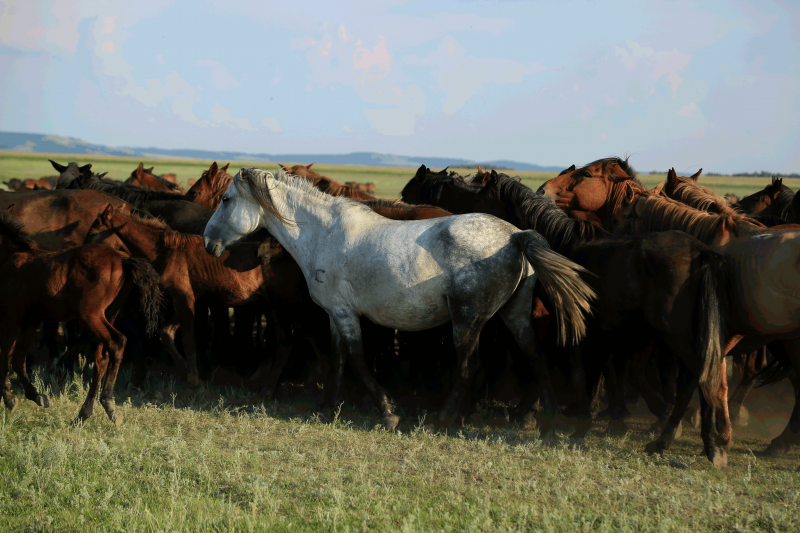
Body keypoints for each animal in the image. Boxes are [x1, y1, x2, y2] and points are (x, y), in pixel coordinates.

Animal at [0, 210, 163, 425]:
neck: (11, 259)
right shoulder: (30, 322)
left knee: (117, 342)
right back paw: (85, 414)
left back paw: (108, 405)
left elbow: (6, 359)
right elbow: (18, 360)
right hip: (107, 314)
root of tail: (122, 260)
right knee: (102, 357)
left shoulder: (11, 319)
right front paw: (36, 396)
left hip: (91, 315)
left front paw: (11, 399)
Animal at [204, 168, 596, 432]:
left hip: (466, 319)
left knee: (470, 366)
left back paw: (444, 418)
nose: (208, 242)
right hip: (514, 314)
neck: (323, 234)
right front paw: (328, 406)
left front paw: (388, 411)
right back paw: (545, 420)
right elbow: (338, 358)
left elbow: (357, 359)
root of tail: (516, 235)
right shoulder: (335, 313)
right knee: (536, 356)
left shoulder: (345, 314)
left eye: (225, 200)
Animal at [403, 166, 732, 466]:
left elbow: (574, 371)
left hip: (674, 333)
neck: (562, 244)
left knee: (697, 378)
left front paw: (570, 423)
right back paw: (692, 443)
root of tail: (701, 252)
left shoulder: (568, 322)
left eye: (480, 196)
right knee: (697, 379)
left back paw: (685, 442)